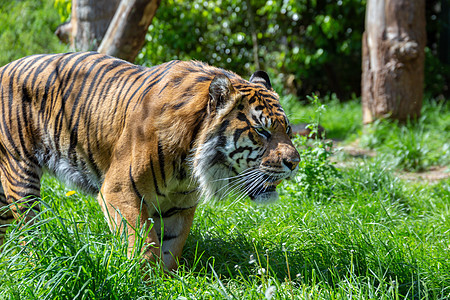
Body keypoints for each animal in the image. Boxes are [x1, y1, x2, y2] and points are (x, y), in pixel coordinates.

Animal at [0, 51, 302, 270]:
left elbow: (170, 246)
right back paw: (36, 261)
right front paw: (144, 279)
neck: (188, 167)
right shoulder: (119, 192)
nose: (295, 163)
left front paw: (167, 280)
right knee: (29, 228)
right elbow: (142, 242)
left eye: (287, 130)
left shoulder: (179, 205)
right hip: (20, 173)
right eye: (261, 131)